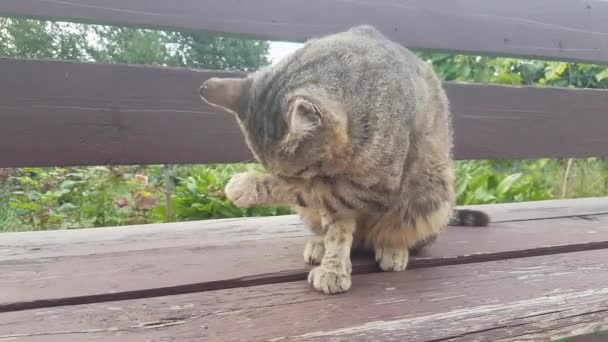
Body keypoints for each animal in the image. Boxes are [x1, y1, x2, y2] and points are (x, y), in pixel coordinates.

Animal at [200, 26, 490, 294]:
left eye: (294, 174)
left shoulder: (374, 186)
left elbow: (309, 191)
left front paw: (248, 185)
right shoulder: (339, 197)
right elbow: (335, 229)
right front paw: (334, 265)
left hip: (432, 194)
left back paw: (393, 248)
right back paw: (320, 244)